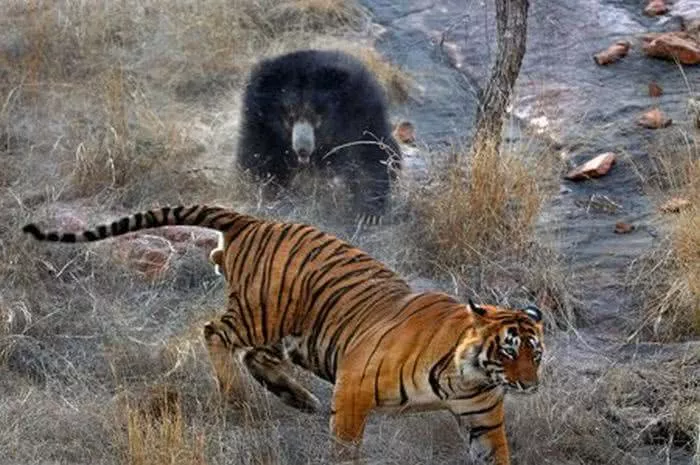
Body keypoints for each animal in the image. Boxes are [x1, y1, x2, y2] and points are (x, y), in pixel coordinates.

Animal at [24, 205, 544, 462]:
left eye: (535, 354)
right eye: (508, 350)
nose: (531, 385)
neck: (467, 375)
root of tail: (253, 220)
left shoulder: (482, 418)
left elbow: (495, 456)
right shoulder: (353, 390)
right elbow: (344, 448)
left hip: (296, 332)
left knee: (256, 355)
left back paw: (299, 398)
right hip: (264, 312)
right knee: (215, 333)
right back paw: (237, 398)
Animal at [235, 49, 400, 223]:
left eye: (316, 116)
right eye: (290, 117)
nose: (302, 150)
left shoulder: (363, 113)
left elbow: (369, 156)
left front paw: (367, 214)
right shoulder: (259, 122)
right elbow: (258, 158)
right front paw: (270, 192)